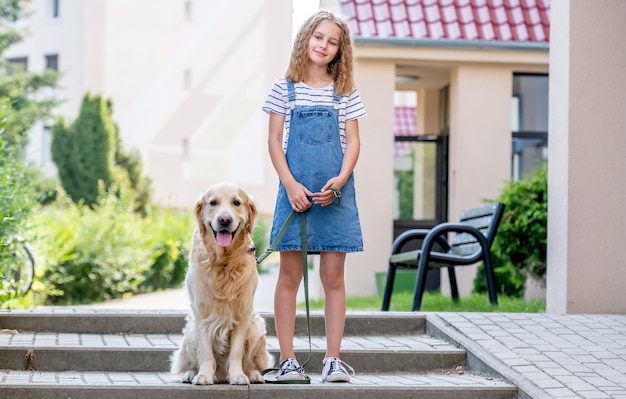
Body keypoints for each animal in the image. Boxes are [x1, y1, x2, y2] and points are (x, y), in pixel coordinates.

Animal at [169, 183, 272, 386]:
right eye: (213, 203)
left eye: (237, 203)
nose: (224, 219)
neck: (224, 263)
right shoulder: (201, 312)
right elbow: (206, 352)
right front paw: (203, 375)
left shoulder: (243, 313)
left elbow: (237, 352)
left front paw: (238, 376)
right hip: (190, 332)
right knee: (189, 362)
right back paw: (190, 374)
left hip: (256, 326)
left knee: (250, 362)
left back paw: (253, 374)